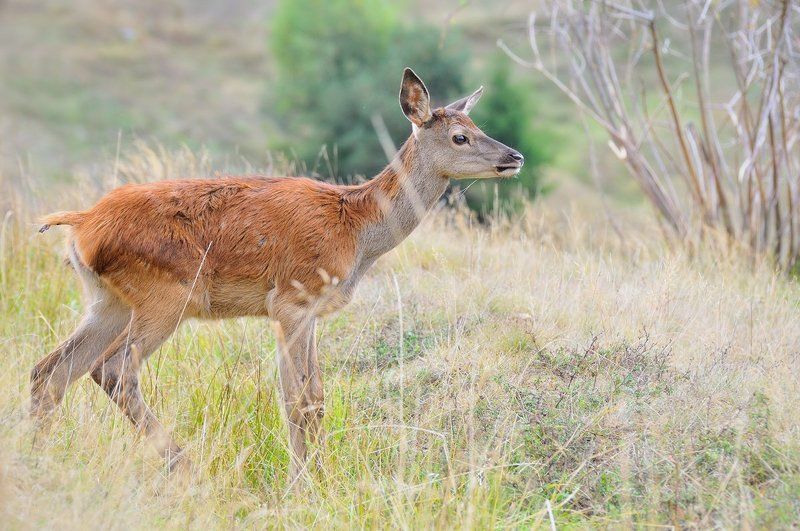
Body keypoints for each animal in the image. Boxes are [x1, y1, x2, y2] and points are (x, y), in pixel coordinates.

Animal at [31, 68, 524, 483]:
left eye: (477, 126)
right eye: (460, 136)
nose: (515, 155)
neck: (357, 231)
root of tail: (82, 223)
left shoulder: (312, 310)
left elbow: (316, 397)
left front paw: (321, 477)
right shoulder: (290, 300)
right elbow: (298, 401)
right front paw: (302, 484)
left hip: (107, 300)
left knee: (51, 370)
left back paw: (40, 456)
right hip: (165, 295)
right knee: (112, 369)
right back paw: (187, 467)